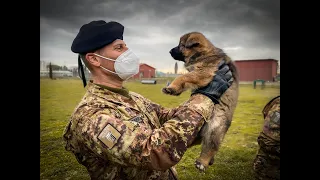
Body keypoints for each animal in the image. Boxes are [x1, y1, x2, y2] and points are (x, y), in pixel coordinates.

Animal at [162, 32, 240, 172]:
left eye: (181, 45)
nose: (169, 51)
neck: (203, 54)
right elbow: (184, 79)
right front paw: (174, 89)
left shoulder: (203, 72)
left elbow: (182, 76)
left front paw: (171, 87)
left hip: (215, 128)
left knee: (210, 147)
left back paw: (202, 162)